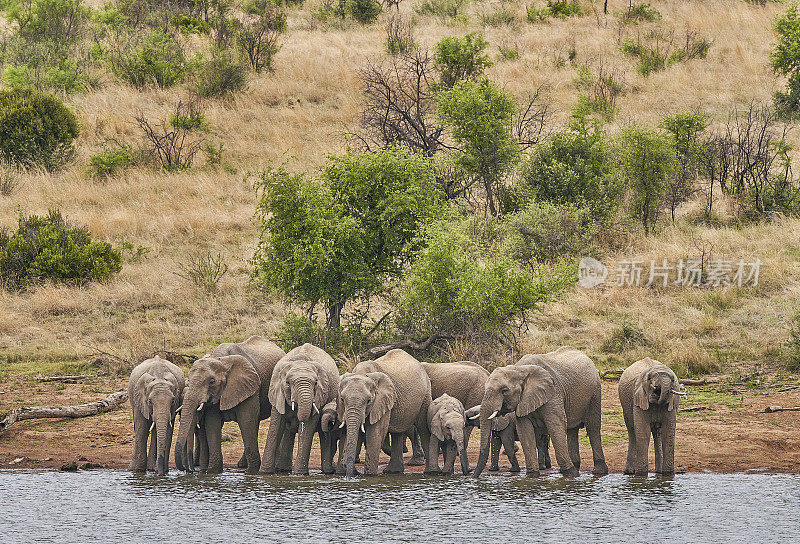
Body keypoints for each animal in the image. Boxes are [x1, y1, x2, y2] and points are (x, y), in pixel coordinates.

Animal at [174, 334, 284, 474]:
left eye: (212, 381)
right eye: (188, 378)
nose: (188, 469)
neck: (222, 361)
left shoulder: (249, 386)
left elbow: (246, 420)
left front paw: (252, 472)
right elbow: (212, 423)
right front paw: (213, 471)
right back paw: (242, 465)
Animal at [260, 344, 340, 476]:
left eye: (316, 383)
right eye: (287, 383)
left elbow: (308, 427)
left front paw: (300, 474)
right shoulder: (278, 393)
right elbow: (276, 426)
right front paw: (264, 472)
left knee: (323, 433)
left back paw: (327, 471)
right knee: (288, 432)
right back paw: (284, 469)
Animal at [340, 348, 434, 476]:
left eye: (369, 400)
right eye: (342, 399)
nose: (349, 476)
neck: (362, 373)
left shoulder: (382, 401)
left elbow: (376, 433)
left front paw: (369, 475)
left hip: (425, 394)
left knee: (423, 428)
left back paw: (430, 471)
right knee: (397, 432)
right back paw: (393, 471)